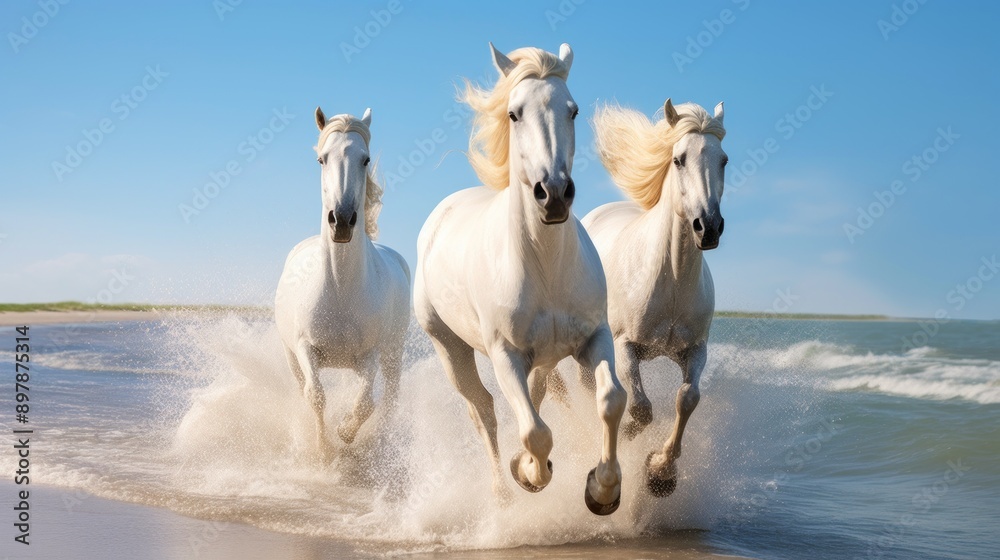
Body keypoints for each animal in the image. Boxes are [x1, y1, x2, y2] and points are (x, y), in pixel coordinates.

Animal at [275, 108, 411, 462]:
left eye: (365, 159)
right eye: (321, 159)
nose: (342, 221)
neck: (339, 287)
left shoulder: (371, 355)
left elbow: (365, 404)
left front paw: (345, 434)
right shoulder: (304, 349)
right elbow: (316, 395)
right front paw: (323, 450)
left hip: (393, 354)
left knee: (390, 398)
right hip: (291, 357)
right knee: (302, 389)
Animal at [413, 43, 627, 515]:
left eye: (573, 110)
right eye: (514, 113)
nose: (554, 194)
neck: (545, 268)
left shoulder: (594, 339)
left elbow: (610, 400)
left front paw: (603, 490)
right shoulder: (505, 354)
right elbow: (534, 431)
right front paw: (529, 473)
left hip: (543, 359)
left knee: (536, 396)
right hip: (450, 348)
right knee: (485, 411)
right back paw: (501, 491)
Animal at [582, 99, 727, 496]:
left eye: (723, 160)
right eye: (678, 159)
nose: (709, 227)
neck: (671, 280)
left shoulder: (694, 350)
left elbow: (687, 399)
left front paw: (660, 473)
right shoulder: (625, 345)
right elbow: (641, 408)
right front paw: (628, 442)